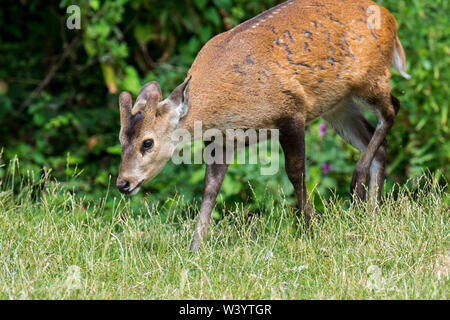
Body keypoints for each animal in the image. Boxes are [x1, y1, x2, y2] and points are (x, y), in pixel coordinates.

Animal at [117, 0, 412, 250]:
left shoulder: (291, 109)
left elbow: (296, 172)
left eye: (148, 142)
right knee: (378, 141)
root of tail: (390, 19)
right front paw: (194, 249)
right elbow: (210, 188)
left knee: (393, 109)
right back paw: (372, 213)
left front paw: (310, 231)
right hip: (337, 105)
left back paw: (358, 182)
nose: (123, 183)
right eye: (120, 140)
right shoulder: (222, 141)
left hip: (371, 77)